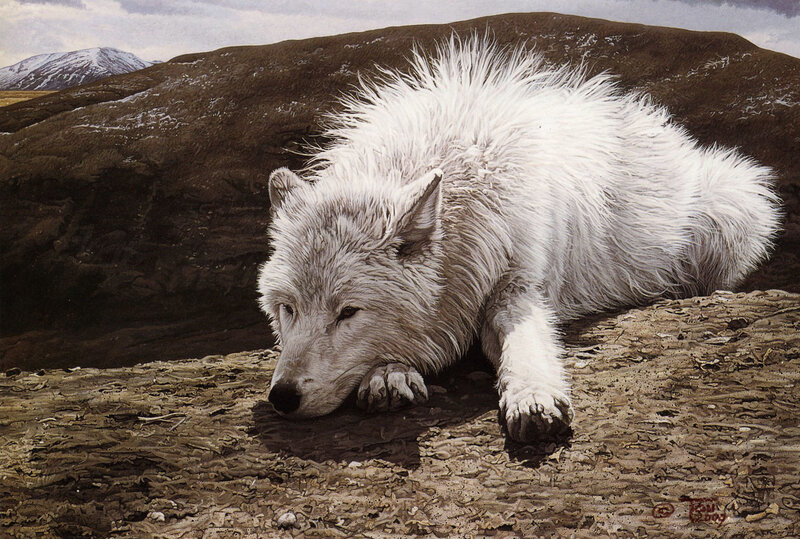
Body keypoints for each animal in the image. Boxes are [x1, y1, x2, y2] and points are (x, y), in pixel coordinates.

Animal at [257, 37, 780, 442]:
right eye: (288, 309)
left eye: (348, 313)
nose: (282, 397)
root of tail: (658, 122)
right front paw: (389, 374)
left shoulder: (518, 286)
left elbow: (524, 342)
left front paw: (532, 397)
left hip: (730, 207)